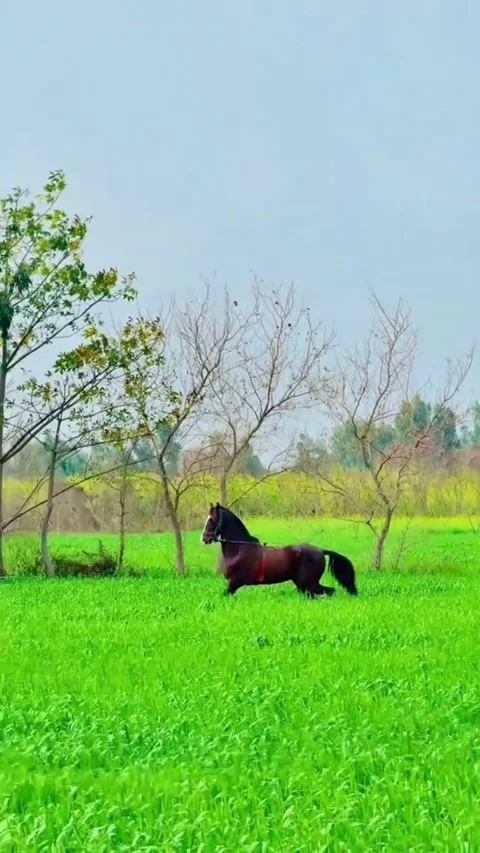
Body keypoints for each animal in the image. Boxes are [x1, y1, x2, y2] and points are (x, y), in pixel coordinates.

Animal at [201, 503, 358, 598]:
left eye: (211, 520)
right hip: (304, 586)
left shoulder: (233, 583)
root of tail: (320, 551)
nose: (204, 539)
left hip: (309, 584)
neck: (239, 549)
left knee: (330, 592)